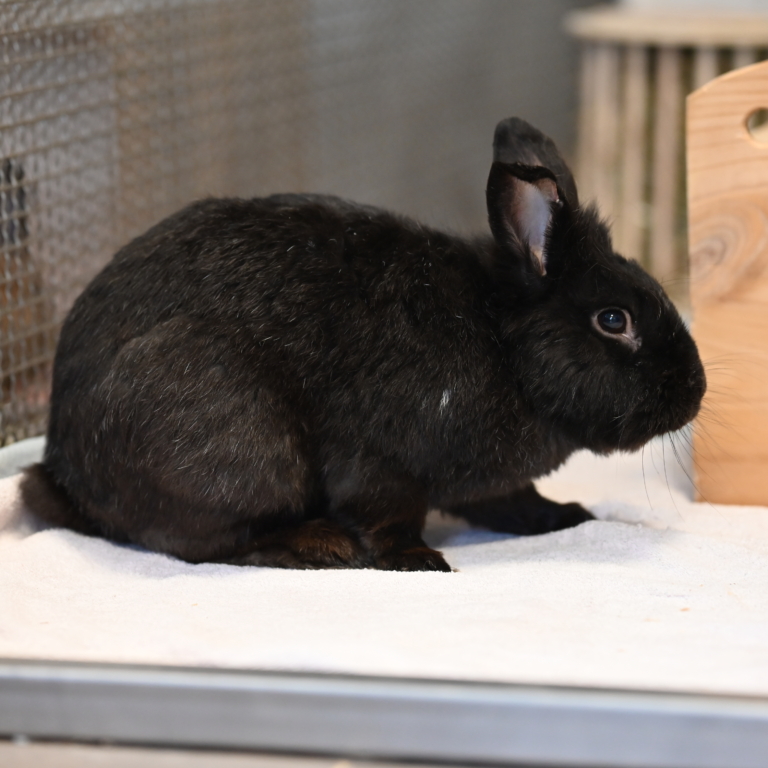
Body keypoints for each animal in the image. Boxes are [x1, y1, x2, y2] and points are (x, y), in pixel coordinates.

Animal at [21, 117, 706, 572]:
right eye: (613, 320)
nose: (695, 393)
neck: (505, 349)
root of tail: (64, 470)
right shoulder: (380, 463)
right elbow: (388, 517)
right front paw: (421, 561)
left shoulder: (488, 484)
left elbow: (510, 501)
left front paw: (565, 516)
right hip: (240, 441)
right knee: (203, 543)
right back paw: (317, 544)